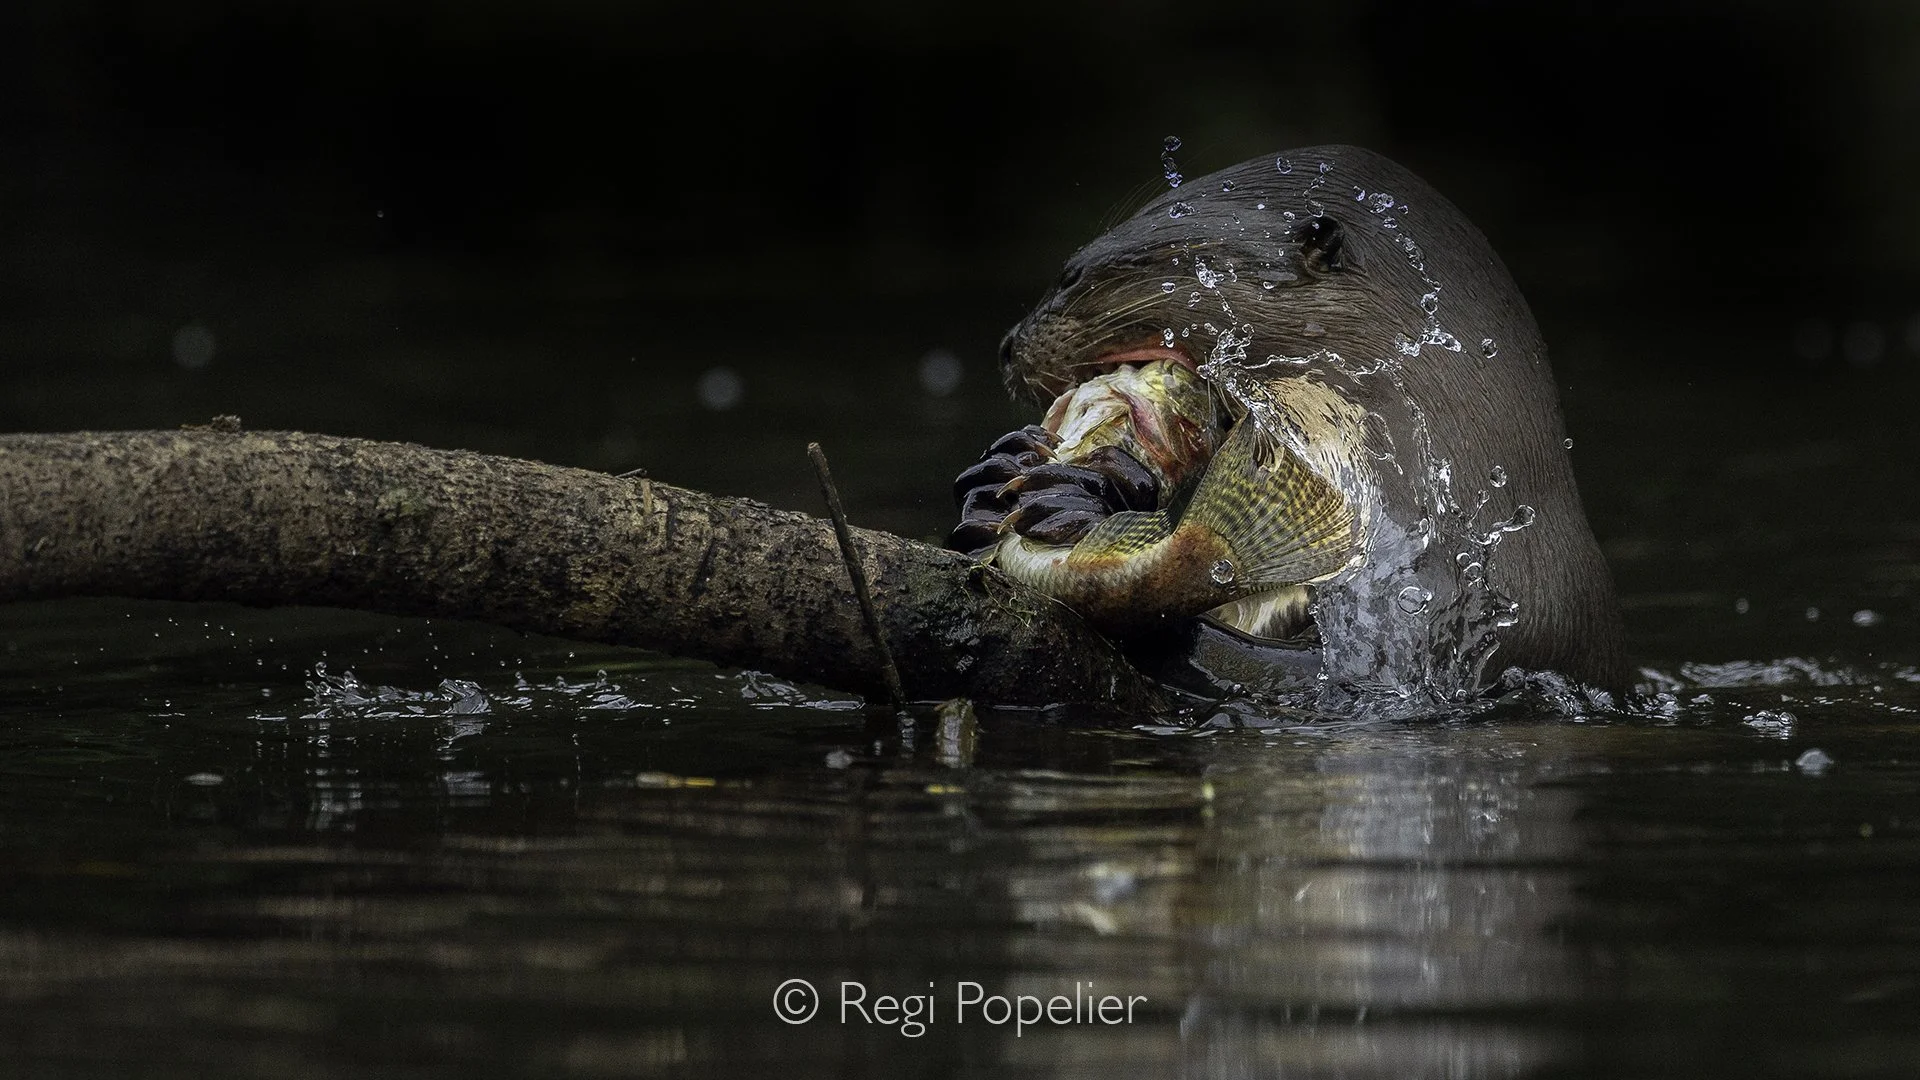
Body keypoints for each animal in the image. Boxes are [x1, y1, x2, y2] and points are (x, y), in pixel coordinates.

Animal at [949, 145, 1625, 706]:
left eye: (1071, 274)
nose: (1007, 346)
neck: (1468, 520)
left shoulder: (1445, 624)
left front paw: (1088, 493)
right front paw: (996, 479)